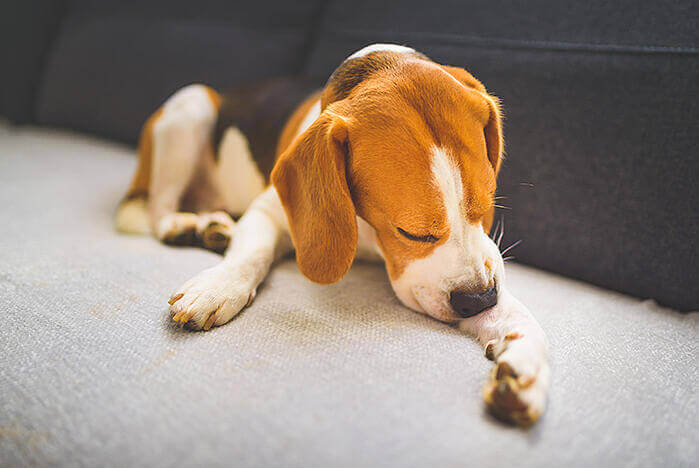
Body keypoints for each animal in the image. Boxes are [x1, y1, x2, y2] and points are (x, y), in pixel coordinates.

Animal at [116, 44, 552, 428]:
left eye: (487, 206)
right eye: (411, 232)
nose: (479, 300)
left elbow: (516, 313)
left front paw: (526, 365)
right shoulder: (268, 211)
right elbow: (251, 253)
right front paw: (218, 286)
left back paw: (212, 227)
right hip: (191, 105)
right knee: (156, 208)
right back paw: (186, 225)